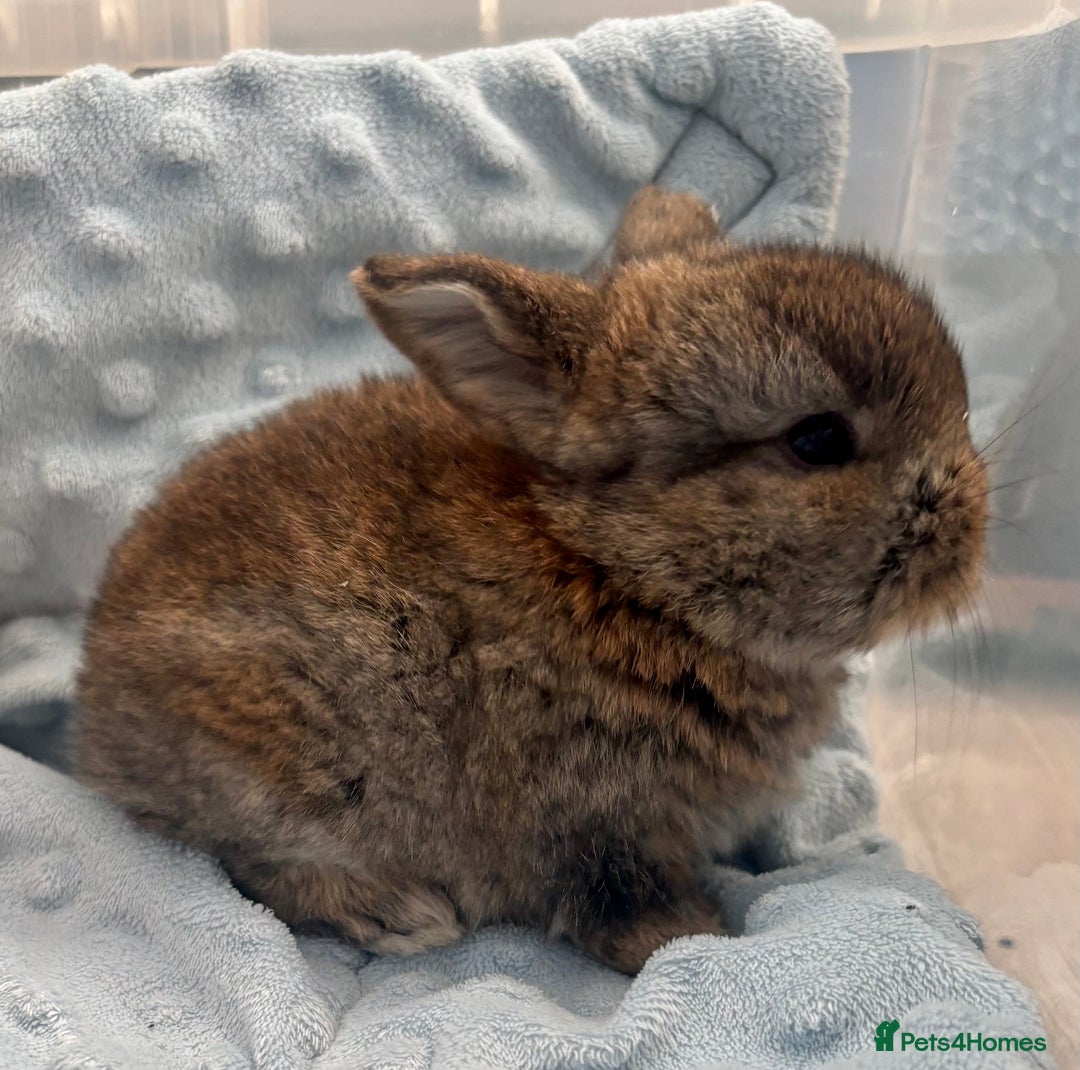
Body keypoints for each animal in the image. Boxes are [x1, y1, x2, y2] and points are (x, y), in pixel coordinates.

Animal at [74, 187, 988, 975]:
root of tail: (92, 705)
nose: (972, 535)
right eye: (817, 440)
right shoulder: (596, 820)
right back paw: (399, 914)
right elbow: (625, 908)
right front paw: (702, 940)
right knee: (246, 864)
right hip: (275, 770)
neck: (623, 572)